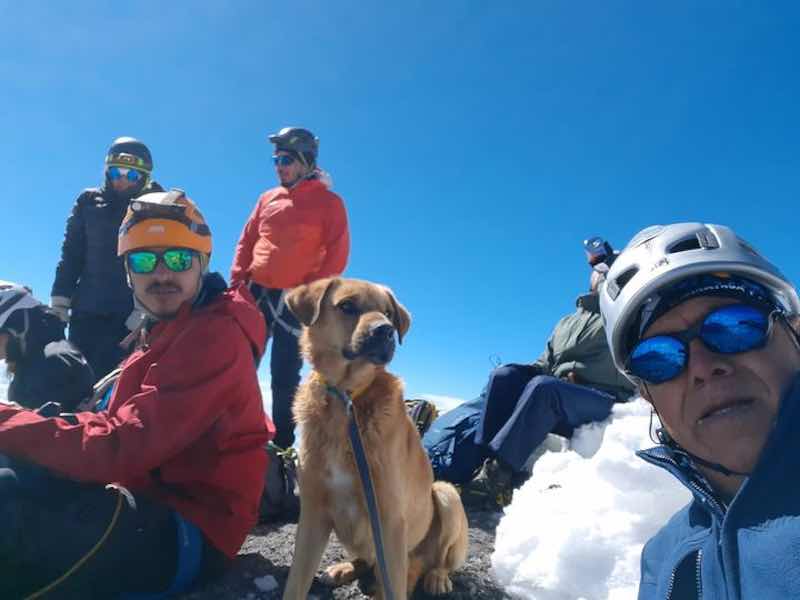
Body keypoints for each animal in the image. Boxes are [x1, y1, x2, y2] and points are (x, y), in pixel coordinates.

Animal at [282, 278, 468, 600]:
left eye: (388, 313)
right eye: (347, 306)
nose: (386, 330)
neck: (346, 399)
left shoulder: (390, 519)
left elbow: (394, 585)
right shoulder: (313, 514)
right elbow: (295, 583)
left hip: (446, 495)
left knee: (436, 561)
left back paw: (436, 577)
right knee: (368, 560)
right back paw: (345, 568)